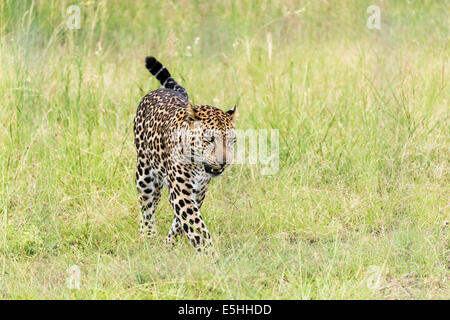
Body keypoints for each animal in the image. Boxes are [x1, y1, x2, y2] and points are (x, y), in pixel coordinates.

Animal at [134, 56, 237, 254]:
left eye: (231, 141)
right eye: (210, 139)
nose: (223, 162)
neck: (198, 167)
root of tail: (163, 90)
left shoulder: (198, 192)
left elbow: (182, 223)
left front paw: (169, 243)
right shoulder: (181, 192)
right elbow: (197, 226)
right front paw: (211, 255)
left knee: (154, 200)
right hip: (144, 173)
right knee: (146, 206)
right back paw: (147, 236)